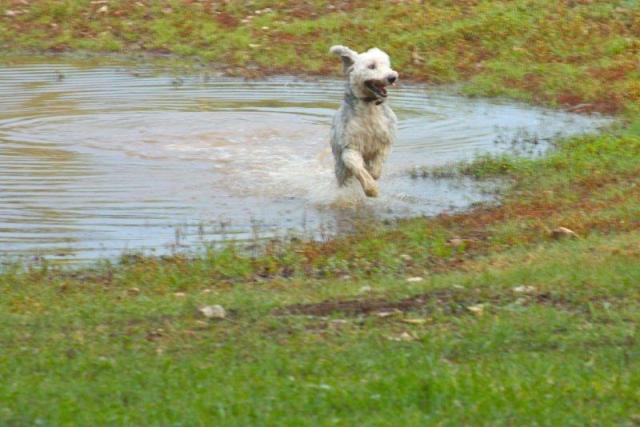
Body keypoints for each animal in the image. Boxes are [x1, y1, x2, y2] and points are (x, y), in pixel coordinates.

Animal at [328, 44, 398, 198]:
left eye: (387, 65)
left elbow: (377, 164)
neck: (369, 106)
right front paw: (371, 189)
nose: (392, 77)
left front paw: (373, 173)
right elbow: (358, 168)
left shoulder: (385, 140)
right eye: (371, 66)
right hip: (340, 168)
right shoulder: (349, 146)